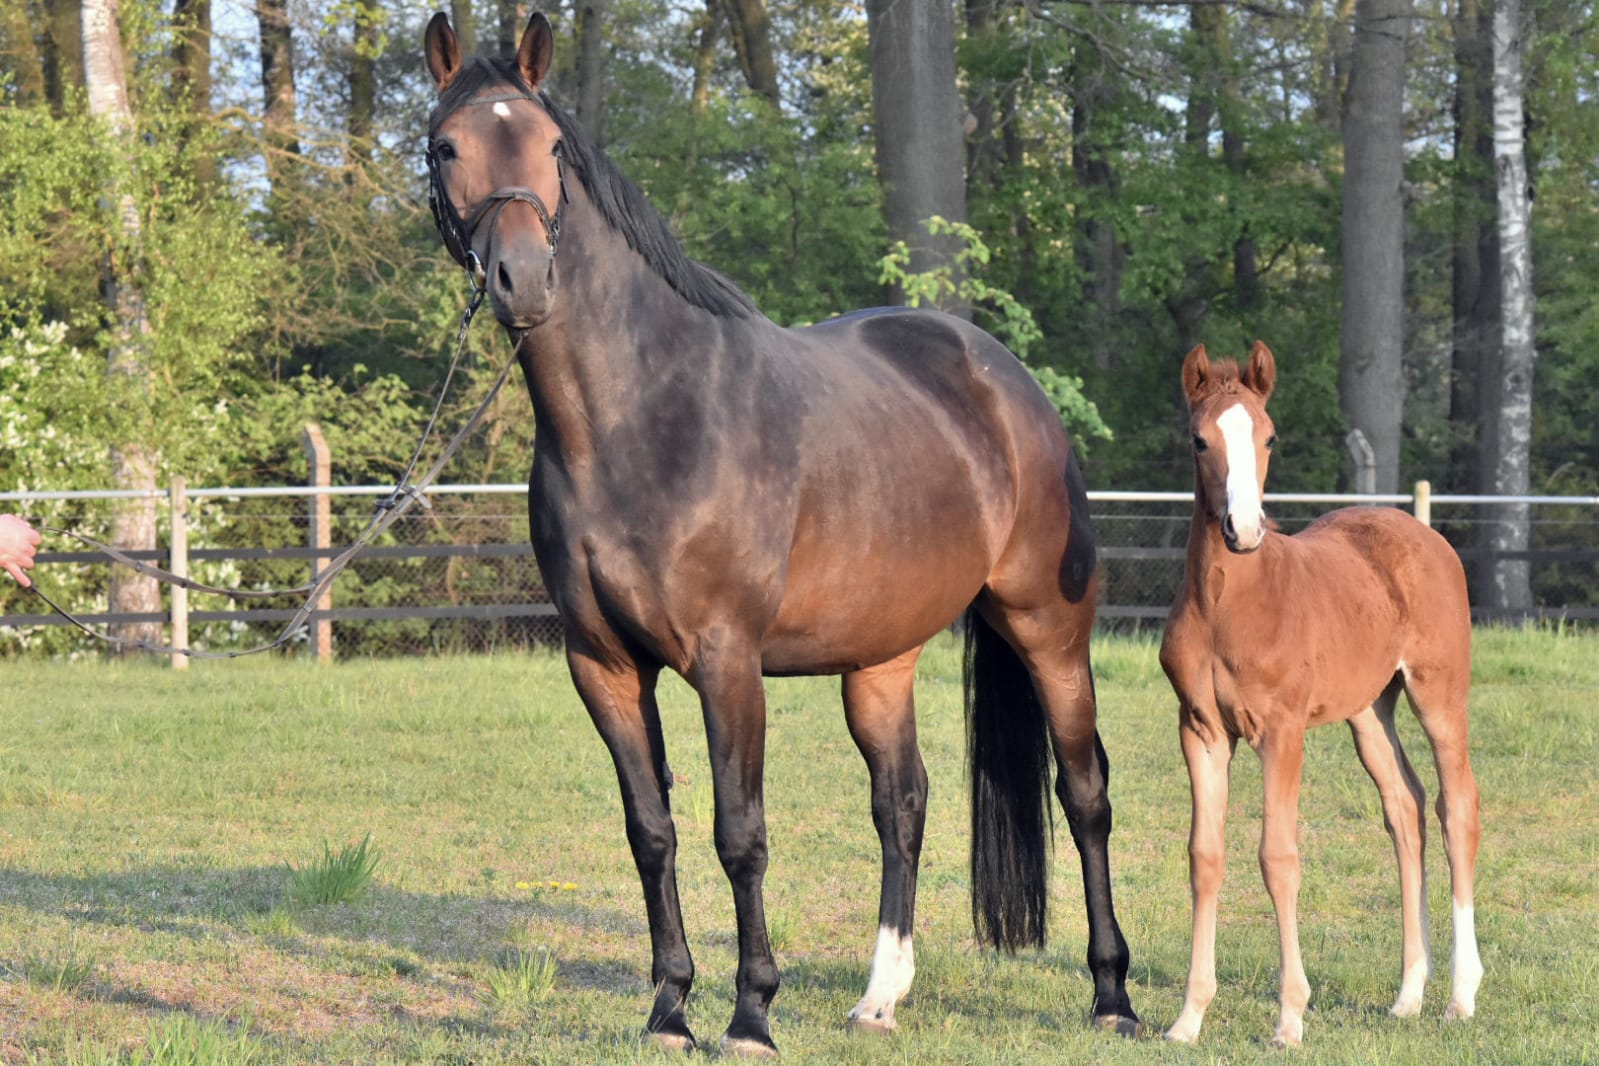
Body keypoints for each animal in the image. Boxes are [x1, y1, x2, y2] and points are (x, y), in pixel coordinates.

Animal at [419, 11, 1140, 1056]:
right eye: (446, 146)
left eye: (552, 147)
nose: (523, 280)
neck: (641, 416)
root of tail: (1005, 379)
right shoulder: (601, 664)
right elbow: (652, 831)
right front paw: (670, 1008)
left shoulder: (727, 660)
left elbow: (739, 832)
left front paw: (751, 1012)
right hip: (879, 657)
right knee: (902, 803)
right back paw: (880, 997)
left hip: (1048, 627)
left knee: (1083, 794)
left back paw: (1113, 994)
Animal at [1158, 342, 1483, 1047]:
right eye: (1199, 439)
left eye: (1270, 435)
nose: (1243, 529)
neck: (1230, 605)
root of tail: (1425, 535)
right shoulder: (1201, 731)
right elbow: (1204, 857)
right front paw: (1189, 1018)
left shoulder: (1280, 732)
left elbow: (1277, 857)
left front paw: (1289, 1017)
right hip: (1369, 712)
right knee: (1406, 808)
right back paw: (1408, 995)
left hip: (1439, 694)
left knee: (1457, 807)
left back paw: (1460, 995)